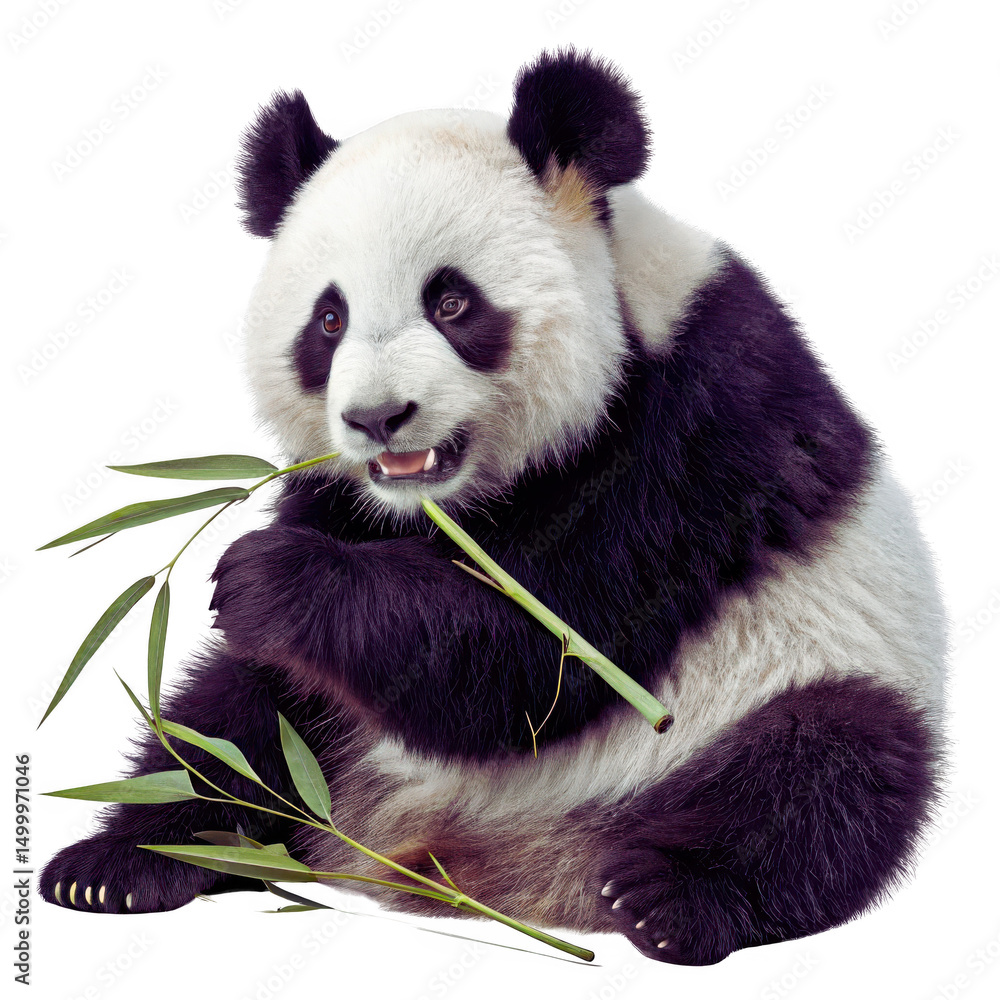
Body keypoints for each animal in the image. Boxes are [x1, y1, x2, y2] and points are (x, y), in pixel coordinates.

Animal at [39, 48, 947, 966]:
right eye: (328, 320)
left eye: (451, 302)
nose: (377, 419)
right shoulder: (341, 491)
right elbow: (274, 679)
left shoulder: (698, 431)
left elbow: (542, 656)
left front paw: (272, 576)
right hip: (326, 745)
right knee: (234, 717)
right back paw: (125, 861)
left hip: (802, 671)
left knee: (823, 772)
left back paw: (669, 896)